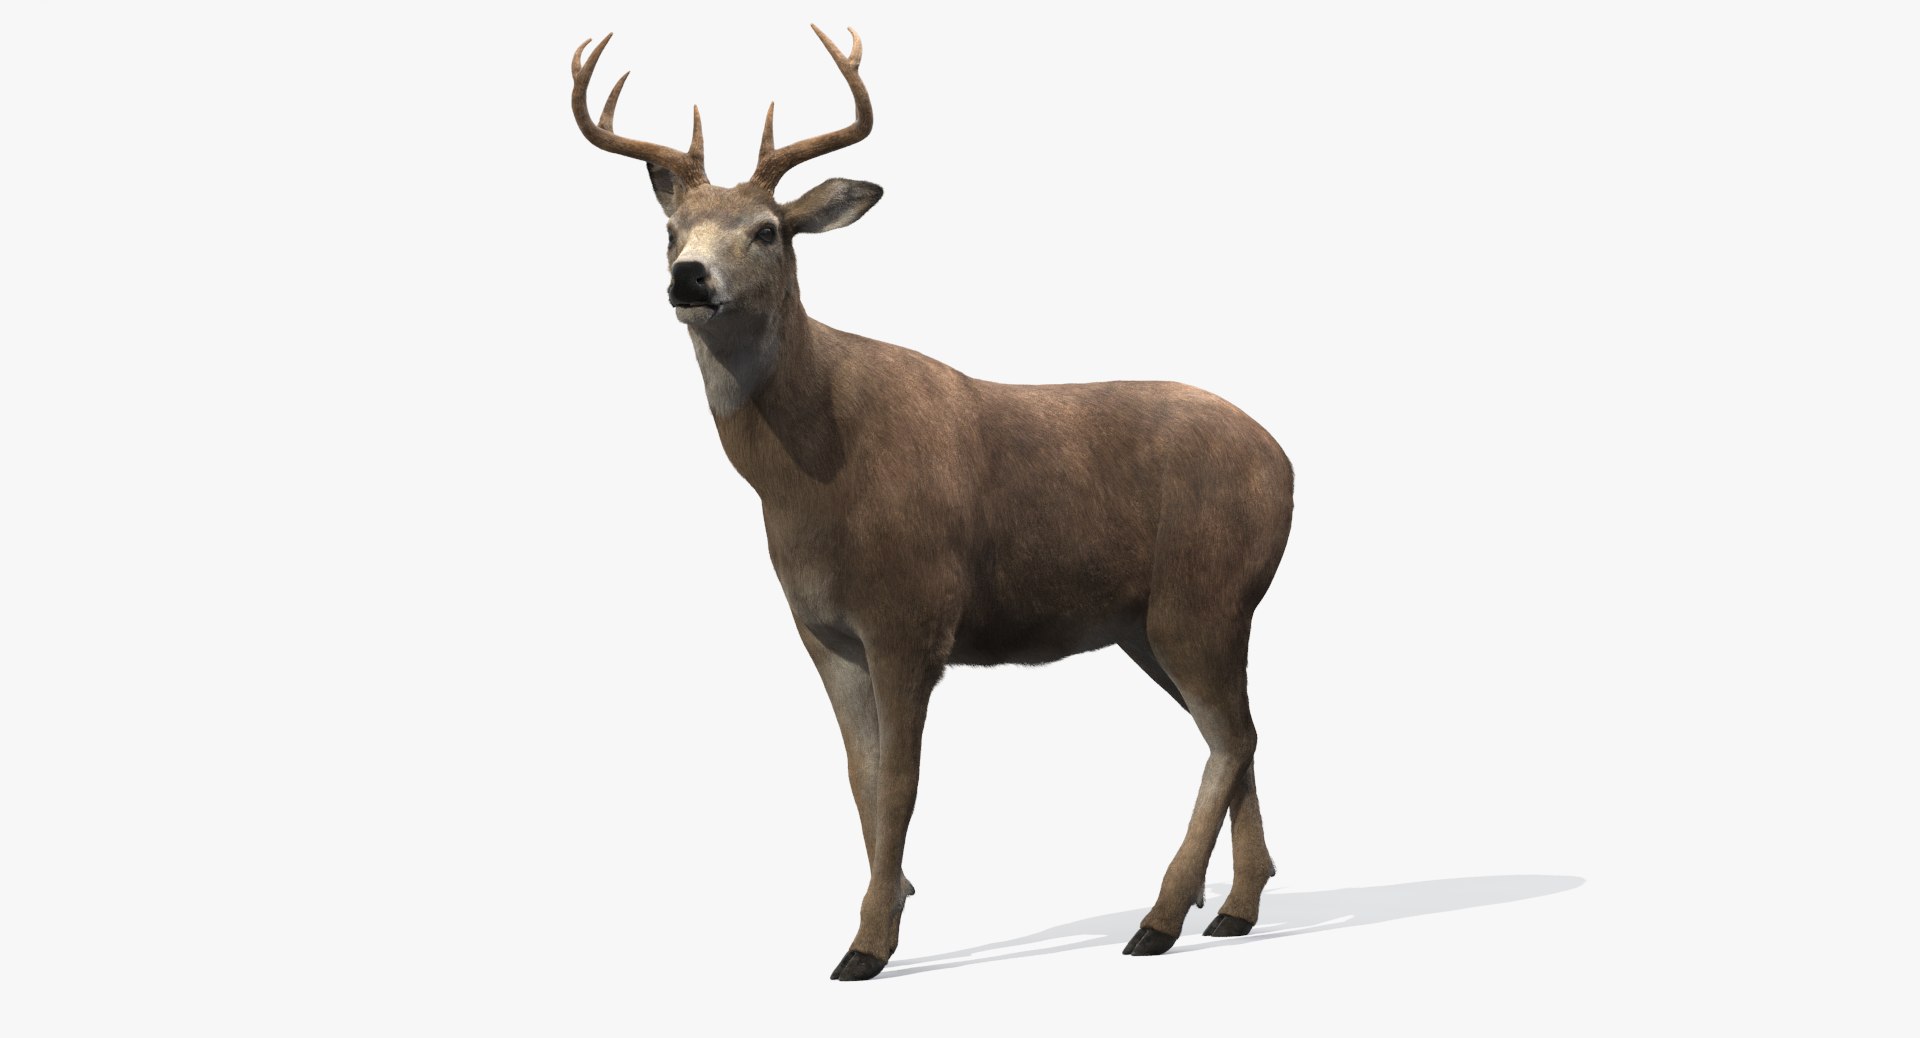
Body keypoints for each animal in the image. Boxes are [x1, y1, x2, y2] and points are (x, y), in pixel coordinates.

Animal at [568, 26, 1294, 981]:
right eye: (669, 230)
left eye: (767, 230)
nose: (690, 278)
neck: (815, 474)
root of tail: (1286, 462)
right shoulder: (823, 631)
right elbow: (860, 774)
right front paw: (894, 895)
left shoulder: (910, 614)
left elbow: (903, 781)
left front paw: (868, 943)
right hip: (1151, 623)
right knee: (1237, 735)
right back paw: (1236, 909)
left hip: (1202, 593)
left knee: (1231, 737)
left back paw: (1161, 919)